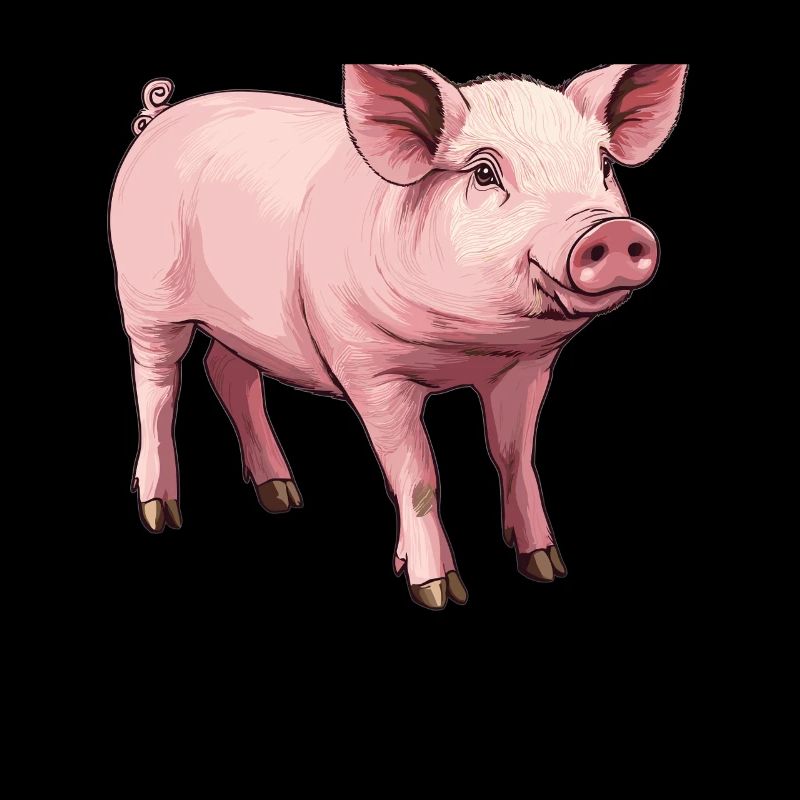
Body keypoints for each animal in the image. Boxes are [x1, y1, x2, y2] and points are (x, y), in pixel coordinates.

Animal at [109, 64, 687, 610]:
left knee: (228, 374)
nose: (612, 231)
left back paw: (283, 497)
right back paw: (160, 513)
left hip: (245, 327)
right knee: (157, 385)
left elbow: (514, 457)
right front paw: (437, 592)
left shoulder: (526, 368)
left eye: (604, 165)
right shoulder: (371, 371)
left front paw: (546, 568)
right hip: (144, 297)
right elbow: (419, 477)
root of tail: (158, 119)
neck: (468, 352)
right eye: (484, 172)